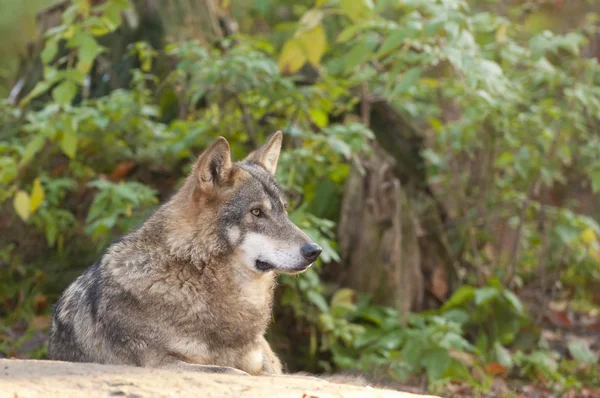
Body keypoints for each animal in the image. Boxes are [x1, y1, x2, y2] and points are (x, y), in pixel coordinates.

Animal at [48, 131, 324, 376]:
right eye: (256, 212)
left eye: (283, 211)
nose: (315, 251)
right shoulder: (160, 363)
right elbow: (233, 372)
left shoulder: (265, 366)